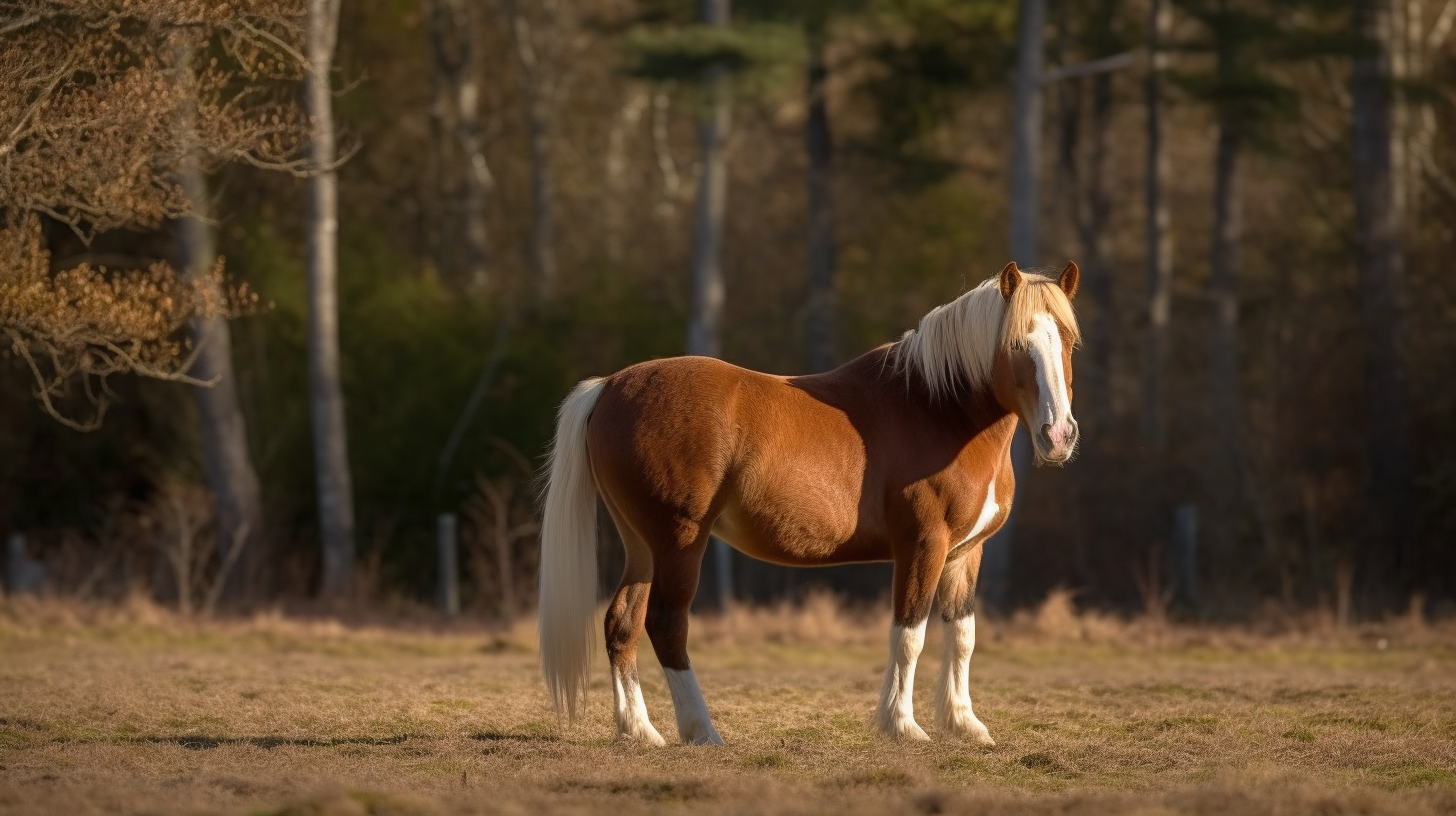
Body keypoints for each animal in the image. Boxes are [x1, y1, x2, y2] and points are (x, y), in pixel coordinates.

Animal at [535, 259, 1083, 746]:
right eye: (1016, 343)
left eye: (1068, 340)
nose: (1058, 435)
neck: (940, 410)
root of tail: (610, 386)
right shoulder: (923, 545)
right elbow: (910, 634)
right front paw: (903, 726)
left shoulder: (965, 553)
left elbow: (962, 636)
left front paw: (964, 724)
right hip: (679, 542)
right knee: (667, 625)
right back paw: (702, 731)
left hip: (643, 546)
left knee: (621, 624)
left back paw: (641, 731)